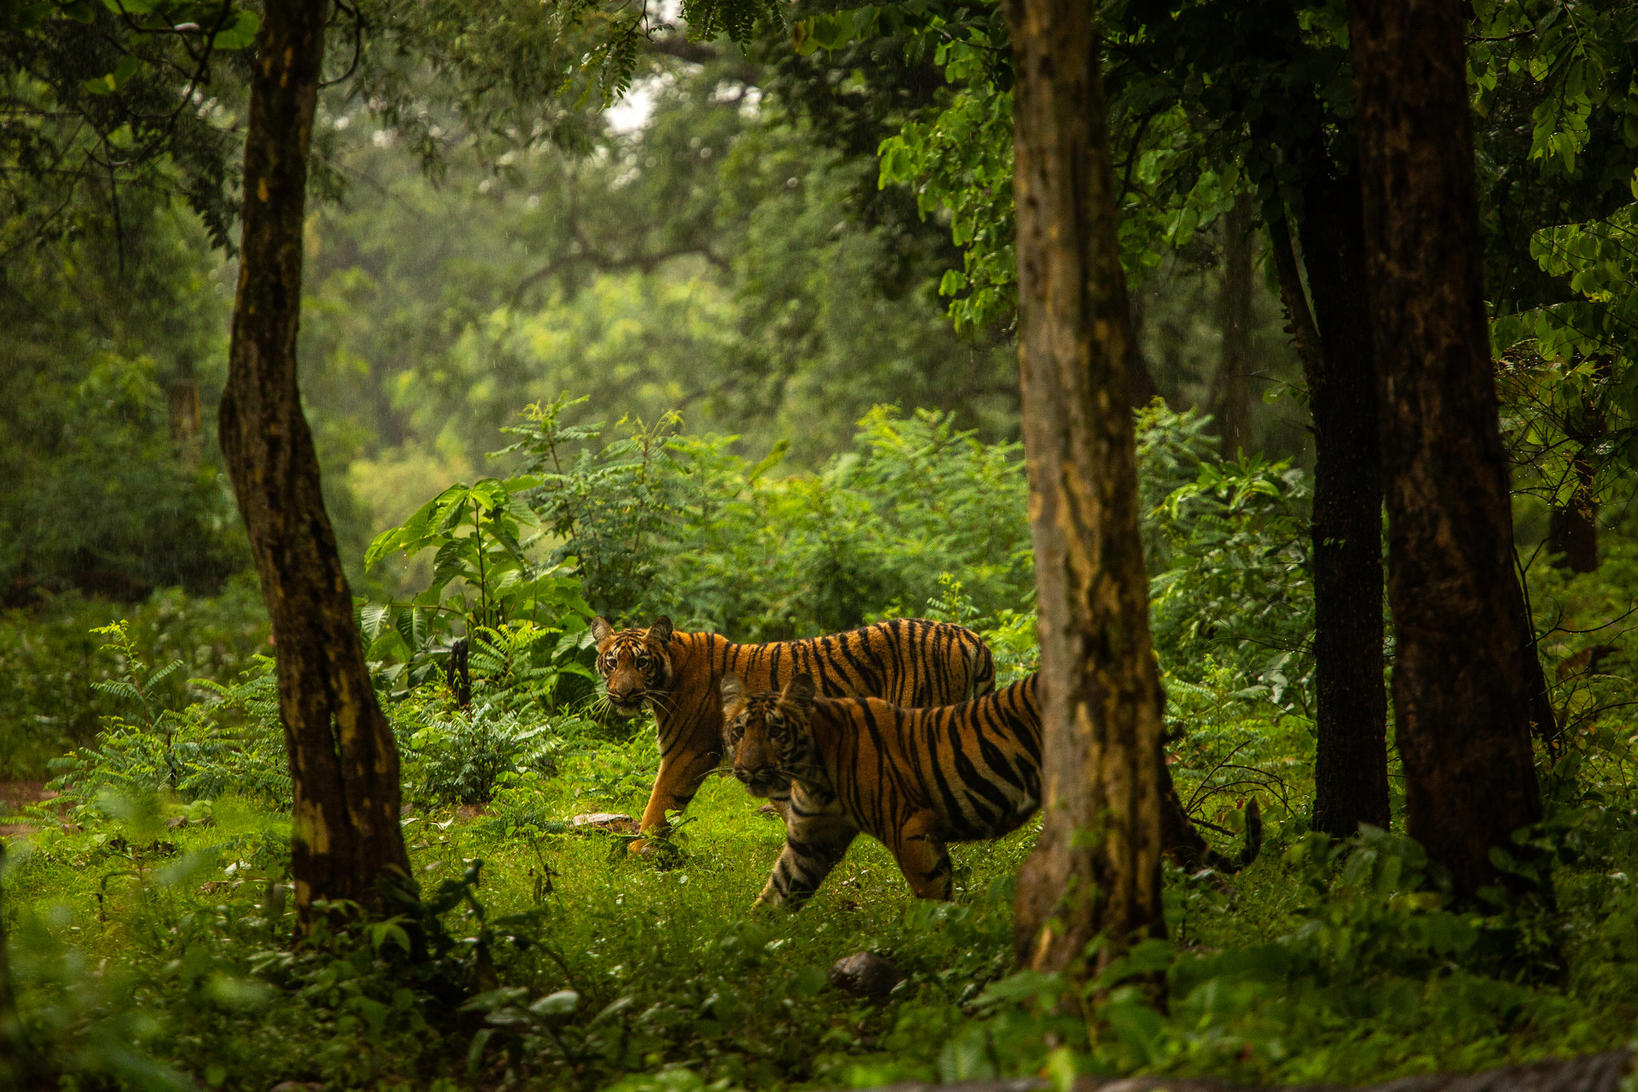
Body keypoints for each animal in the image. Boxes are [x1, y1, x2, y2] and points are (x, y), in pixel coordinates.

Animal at [589, 618, 995, 844]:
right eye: (612, 663)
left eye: (641, 662)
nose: (622, 694)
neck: (670, 673)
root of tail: (969, 637)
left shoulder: (686, 753)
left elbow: (657, 807)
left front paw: (636, 853)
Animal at [723, 671, 1041, 910]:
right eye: (739, 732)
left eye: (775, 732)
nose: (749, 768)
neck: (813, 776)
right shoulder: (808, 844)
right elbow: (773, 896)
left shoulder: (908, 829)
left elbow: (933, 900)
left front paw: (940, 940)